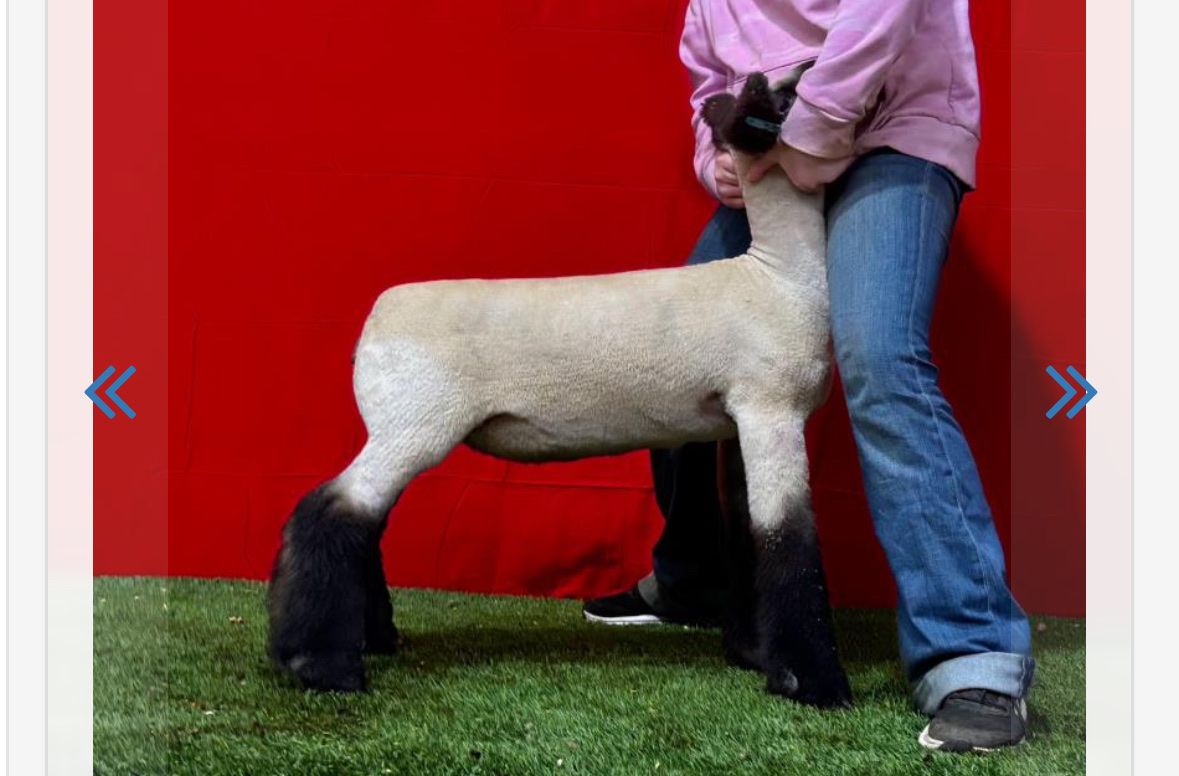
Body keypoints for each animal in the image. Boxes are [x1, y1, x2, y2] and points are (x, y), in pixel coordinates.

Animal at [268, 67, 853, 709]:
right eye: (790, 97)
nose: (812, 72)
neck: (776, 277)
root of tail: (373, 323)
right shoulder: (770, 407)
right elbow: (788, 537)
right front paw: (812, 682)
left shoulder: (737, 420)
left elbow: (748, 534)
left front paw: (752, 653)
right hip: (415, 424)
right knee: (331, 512)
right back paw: (322, 665)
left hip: (404, 427)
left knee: (362, 524)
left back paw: (370, 638)